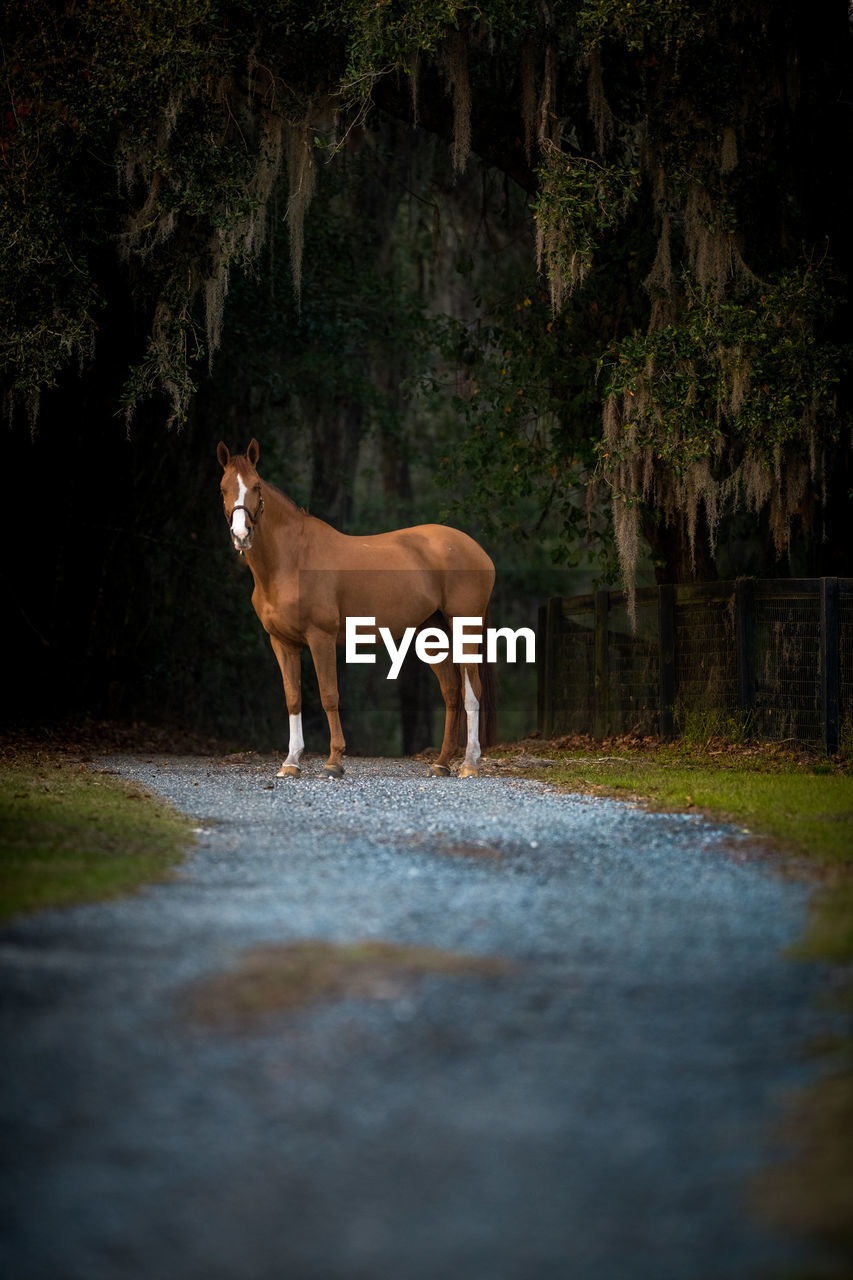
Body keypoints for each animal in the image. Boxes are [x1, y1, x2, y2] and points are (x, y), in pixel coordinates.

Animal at [216, 440, 494, 778]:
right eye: (223, 489)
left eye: (255, 486)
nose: (241, 535)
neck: (292, 560)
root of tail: (477, 551)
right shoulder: (282, 642)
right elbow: (293, 698)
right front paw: (290, 762)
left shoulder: (320, 638)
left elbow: (329, 695)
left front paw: (334, 761)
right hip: (431, 632)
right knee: (452, 691)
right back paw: (441, 763)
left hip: (465, 627)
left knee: (471, 691)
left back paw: (469, 763)